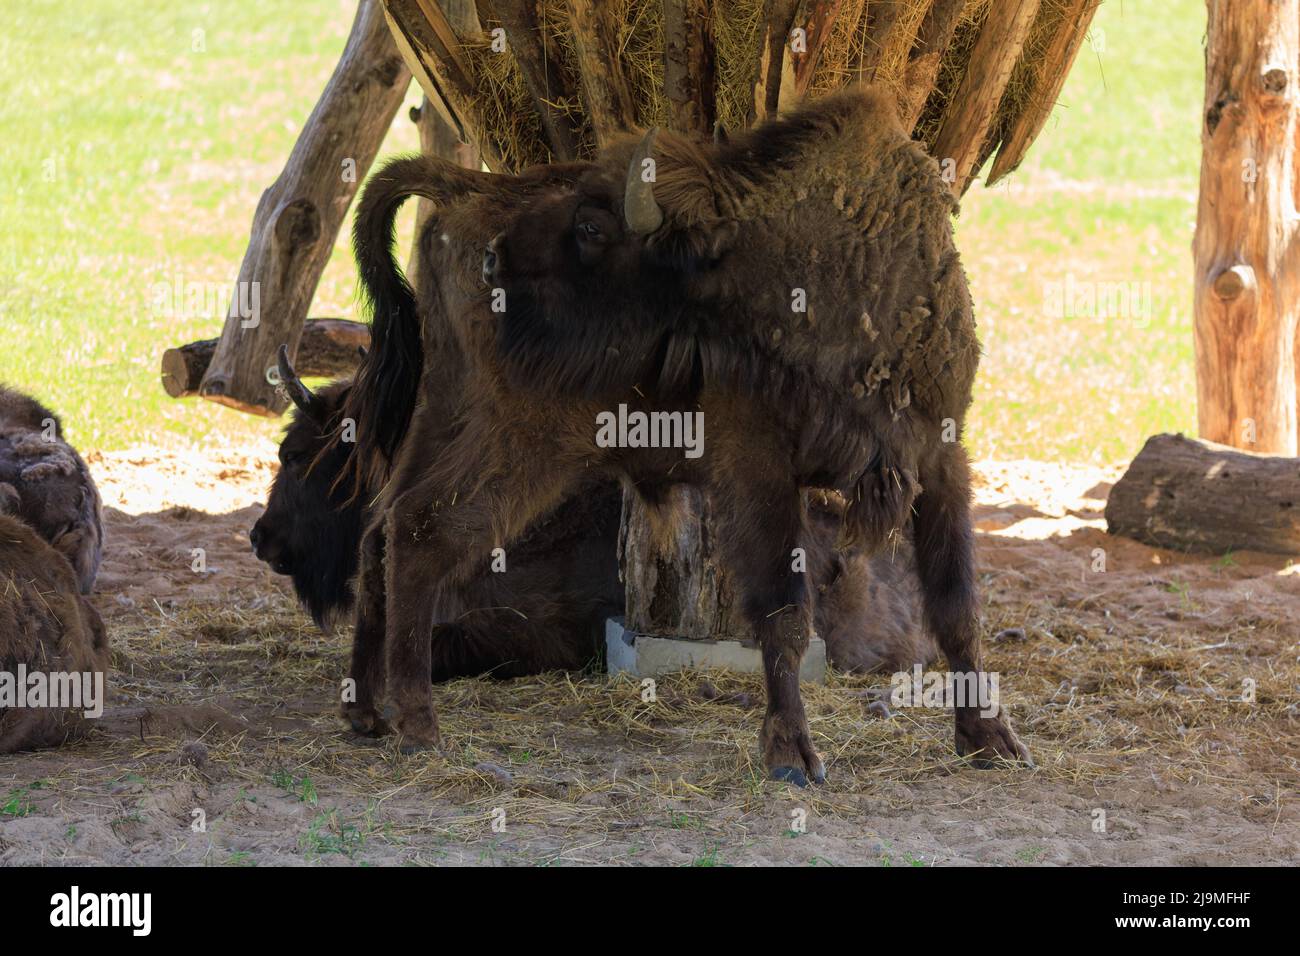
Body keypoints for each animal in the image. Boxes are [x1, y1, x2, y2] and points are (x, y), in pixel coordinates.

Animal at [335, 87, 1024, 785]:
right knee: (422, 530)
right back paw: (419, 728)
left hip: (443, 410)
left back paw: (367, 713)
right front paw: (792, 755)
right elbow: (785, 613)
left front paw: (990, 740)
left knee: (380, 530)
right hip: (521, 437)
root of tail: (459, 194)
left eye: (592, 228)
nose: (494, 260)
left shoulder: (940, 458)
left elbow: (957, 606)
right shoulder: (759, 471)